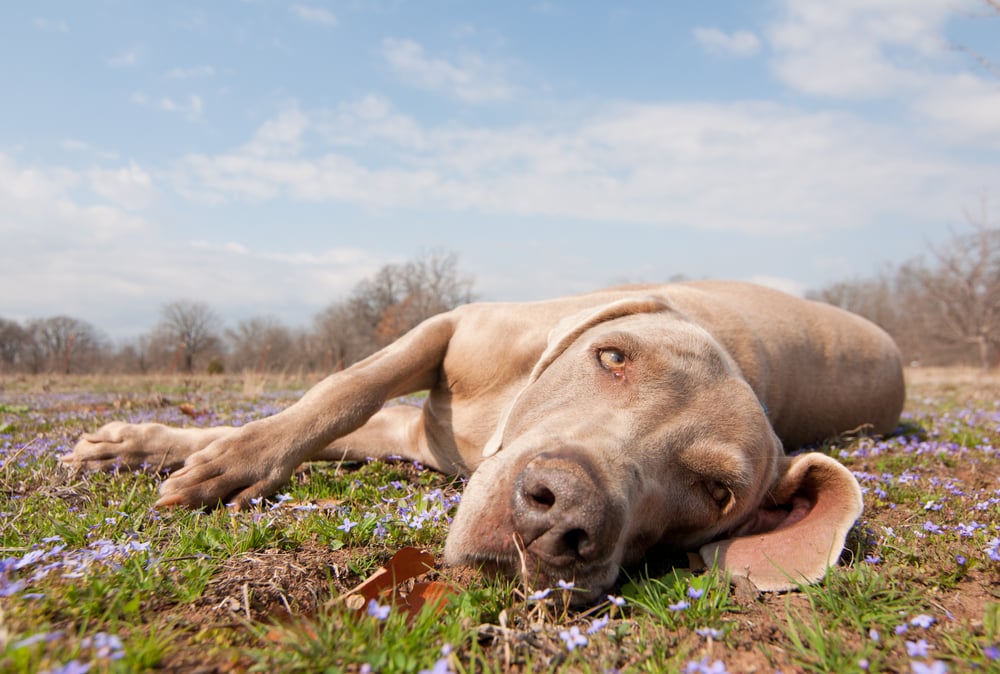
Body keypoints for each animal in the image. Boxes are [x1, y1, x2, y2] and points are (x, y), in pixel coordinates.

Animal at [64, 278, 908, 600]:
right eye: (613, 357)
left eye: (717, 491)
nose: (558, 517)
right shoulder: (450, 332)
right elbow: (341, 392)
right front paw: (190, 456)